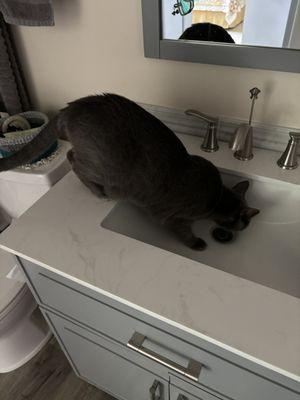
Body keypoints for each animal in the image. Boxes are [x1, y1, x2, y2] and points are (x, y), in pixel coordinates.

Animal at [0, 94, 258, 250]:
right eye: (245, 223)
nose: (242, 232)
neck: (216, 197)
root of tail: (73, 107)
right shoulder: (171, 217)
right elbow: (183, 231)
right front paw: (197, 243)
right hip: (102, 166)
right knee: (72, 158)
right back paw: (98, 192)